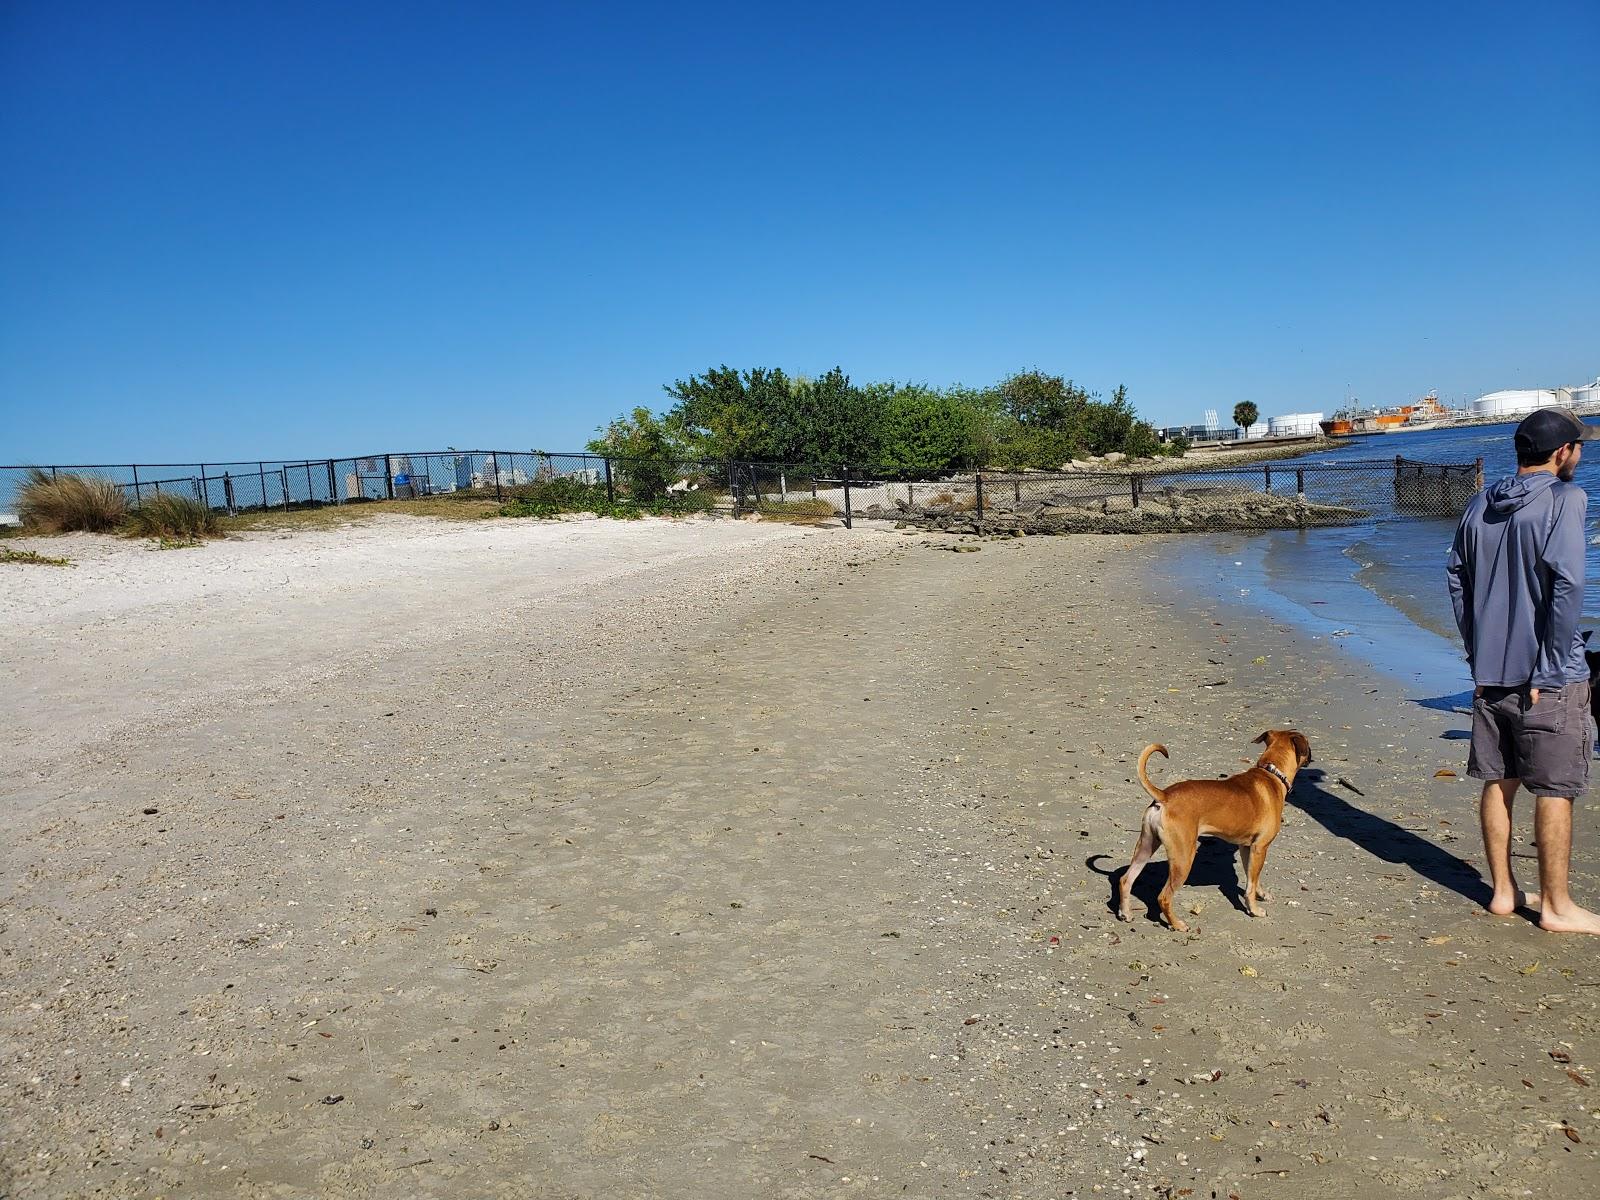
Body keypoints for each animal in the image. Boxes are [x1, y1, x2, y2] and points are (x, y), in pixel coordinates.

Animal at [1113, 729, 1312, 934]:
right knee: (1164, 897)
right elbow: (1250, 886)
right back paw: (1177, 924)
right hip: (1183, 858)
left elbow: (1253, 879)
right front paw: (1254, 910)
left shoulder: (1247, 849)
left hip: (1146, 847)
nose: (1311, 757)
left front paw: (1262, 894)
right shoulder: (1260, 847)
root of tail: (1165, 796)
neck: (1271, 774)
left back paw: (1125, 912)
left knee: (1126, 880)